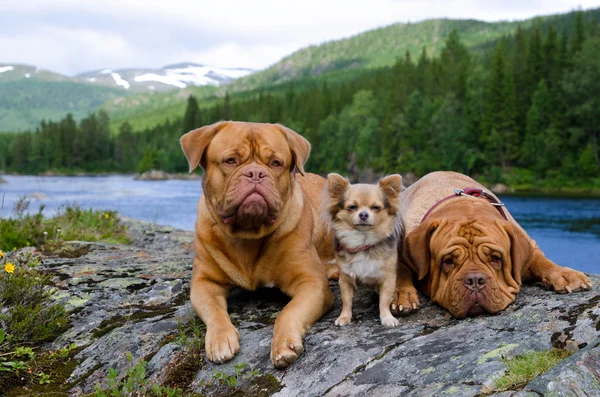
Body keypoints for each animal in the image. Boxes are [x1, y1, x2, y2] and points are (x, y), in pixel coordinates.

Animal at [180, 121, 336, 368]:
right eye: (230, 160)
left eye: (275, 163)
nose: (255, 173)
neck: (248, 234)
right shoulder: (204, 283)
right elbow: (213, 310)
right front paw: (220, 338)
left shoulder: (312, 283)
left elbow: (288, 311)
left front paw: (283, 344)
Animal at [398, 171, 592, 318]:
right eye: (448, 261)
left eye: (496, 258)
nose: (475, 280)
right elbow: (400, 270)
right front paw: (401, 295)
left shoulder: (529, 245)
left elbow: (540, 260)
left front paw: (566, 274)